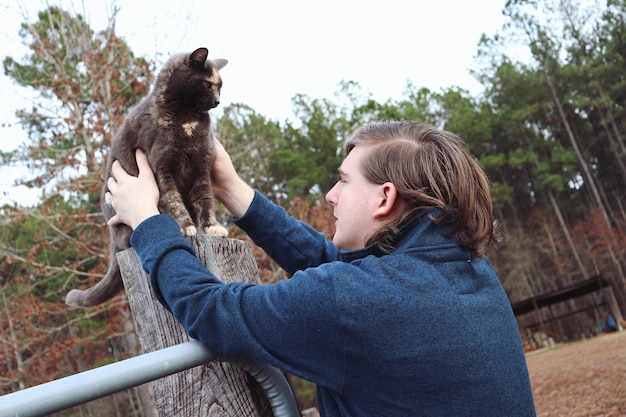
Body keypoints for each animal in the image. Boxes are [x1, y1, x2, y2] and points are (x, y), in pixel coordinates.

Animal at [66, 48, 227, 306]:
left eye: (220, 86)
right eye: (208, 84)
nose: (218, 101)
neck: (187, 119)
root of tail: (114, 241)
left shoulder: (202, 169)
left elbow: (206, 200)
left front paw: (211, 227)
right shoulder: (162, 169)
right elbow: (173, 200)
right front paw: (186, 227)